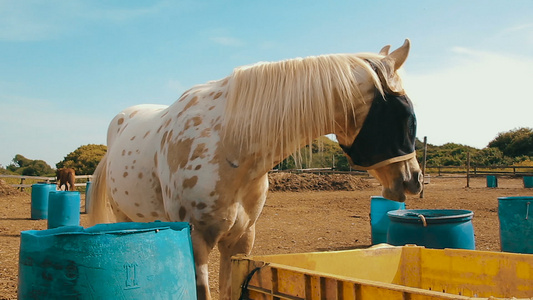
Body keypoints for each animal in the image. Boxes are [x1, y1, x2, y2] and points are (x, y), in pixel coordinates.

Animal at [90, 40, 424, 300]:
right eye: (407, 116)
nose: (414, 180)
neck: (230, 145)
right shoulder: (197, 244)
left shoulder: (240, 241)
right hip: (125, 219)